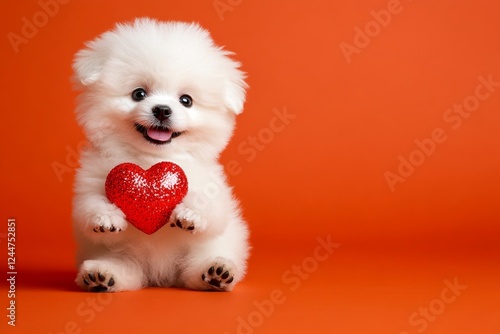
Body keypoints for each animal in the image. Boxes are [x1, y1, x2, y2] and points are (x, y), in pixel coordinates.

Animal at [71, 17, 250, 292]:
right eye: (139, 94)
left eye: (186, 100)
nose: (163, 110)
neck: (151, 159)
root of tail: (162, 275)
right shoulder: (91, 181)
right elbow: (89, 205)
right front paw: (105, 216)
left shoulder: (213, 190)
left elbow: (210, 206)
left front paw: (190, 214)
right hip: (120, 255)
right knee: (124, 269)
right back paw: (100, 275)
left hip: (208, 249)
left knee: (197, 269)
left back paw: (217, 272)